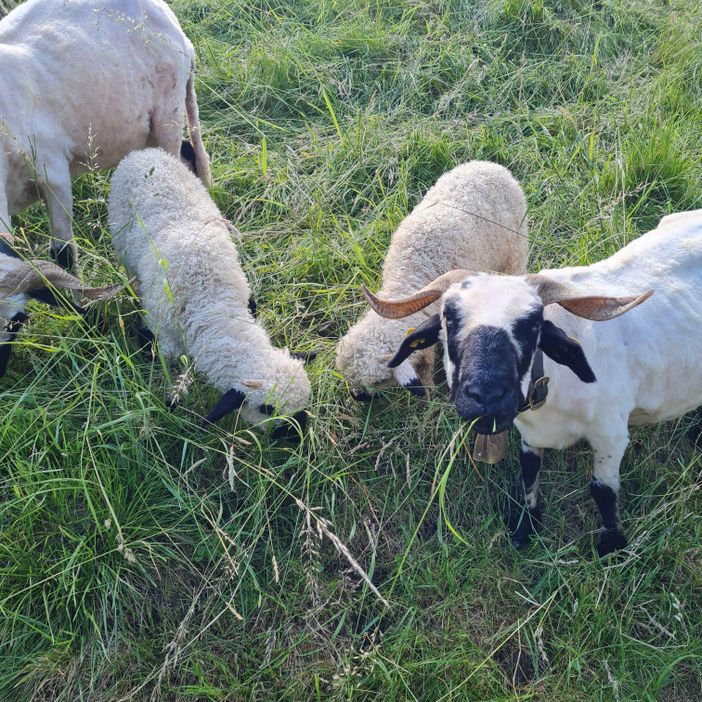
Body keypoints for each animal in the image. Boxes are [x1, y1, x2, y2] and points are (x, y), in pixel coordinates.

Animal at [360, 208, 702, 556]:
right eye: (448, 318)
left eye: (534, 323)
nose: (486, 397)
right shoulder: (529, 433)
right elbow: (528, 473)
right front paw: (526, 528)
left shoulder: (611, 434)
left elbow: (602, 491)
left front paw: (611, 546)